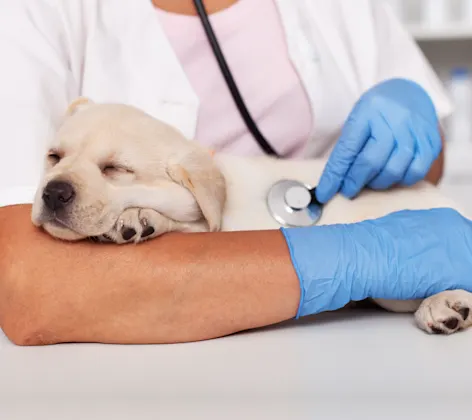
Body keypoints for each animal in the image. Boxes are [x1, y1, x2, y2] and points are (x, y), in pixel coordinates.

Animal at [31, 97, 472, 334]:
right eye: (53, 157)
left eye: (116, 169)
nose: (53, 192)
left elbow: (186, 221)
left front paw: (139, 216)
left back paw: (446, 304)